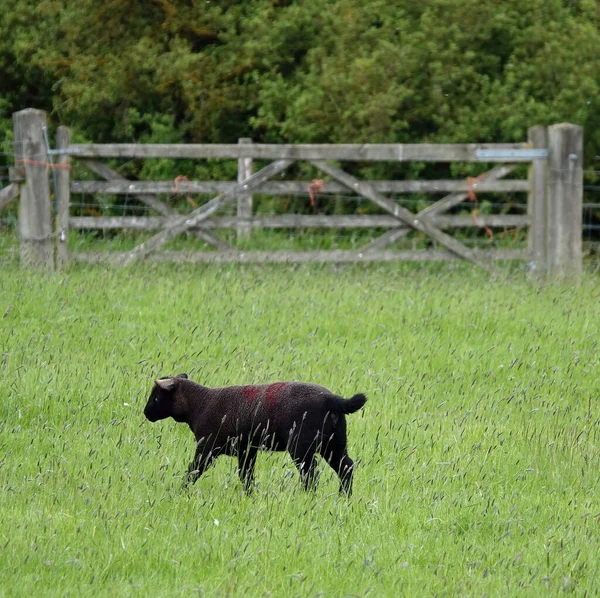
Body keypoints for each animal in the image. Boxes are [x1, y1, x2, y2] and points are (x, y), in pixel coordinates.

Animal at [144, 376, 368, 496]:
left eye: (156, 397)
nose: (146, 413)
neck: (199, 405)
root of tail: (334, 399)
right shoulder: (246, 450)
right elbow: (246, 476)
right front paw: (249, 496)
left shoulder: (206, 448)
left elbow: (193, 470)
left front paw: (180, 491)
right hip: (334, 443)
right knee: (346, 467)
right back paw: (344, 497)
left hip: (302, 446)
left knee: (311, 473)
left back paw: (308, 497)